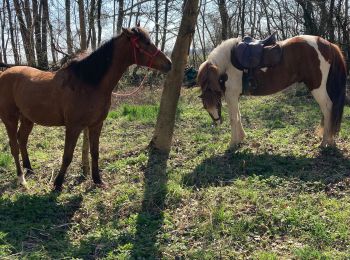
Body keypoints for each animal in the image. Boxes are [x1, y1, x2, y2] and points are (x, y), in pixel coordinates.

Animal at [0, 26, 172, 191]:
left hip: (27, 118)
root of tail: (4, 73)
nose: (169, 63)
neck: (88, 83)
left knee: (22, 140)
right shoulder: (73, 127)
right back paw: (21, 178)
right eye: (146, 43)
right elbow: (67, 156)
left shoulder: (96, 124)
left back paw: (29, 169)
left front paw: (97, 180)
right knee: (14, 146)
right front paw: (58, 184)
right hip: (10, 119)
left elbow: (95, 153)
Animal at [198, 35, 346, 148]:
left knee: (327, 109)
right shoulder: (235, 97)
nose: (217, 122)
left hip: (317, 88)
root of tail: (328, 44)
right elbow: (238, 116)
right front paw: (241, 138)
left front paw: (233, 143)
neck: (227, 62)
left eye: (217, 104)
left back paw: (326, 141)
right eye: (205, 107)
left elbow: (234, 118)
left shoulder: (231, 96)